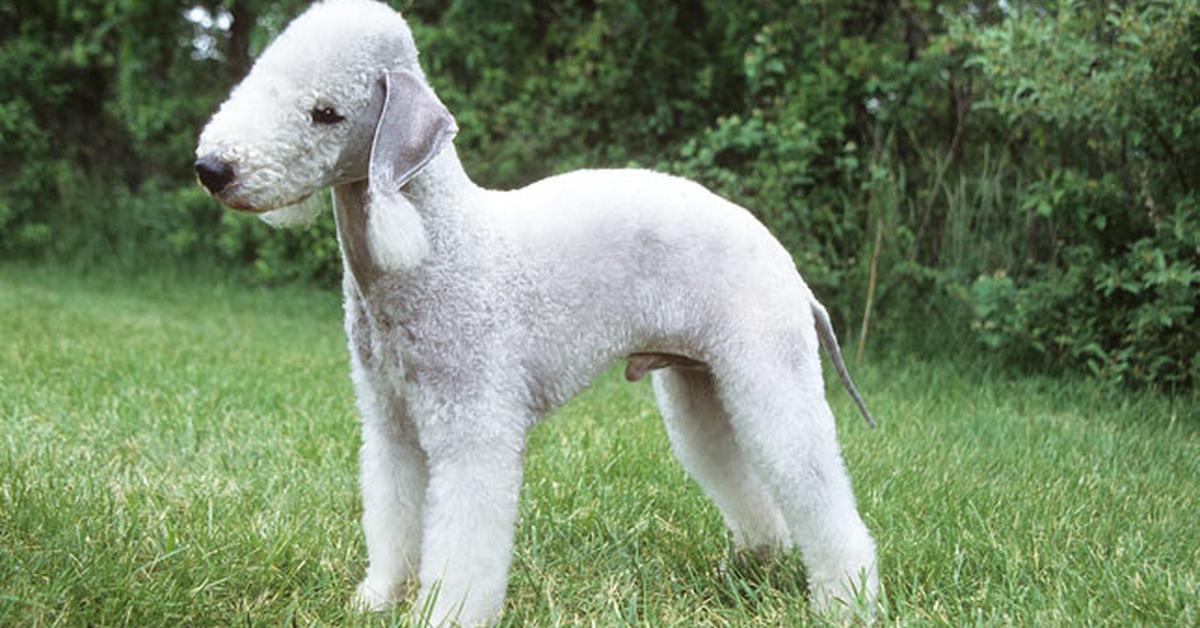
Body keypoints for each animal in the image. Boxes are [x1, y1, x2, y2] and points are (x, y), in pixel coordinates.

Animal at [196, 0, 883, 624]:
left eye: (326, 113)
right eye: (260, 75)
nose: (212, 169)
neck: (438, 245)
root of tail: (787, 266)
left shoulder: (473, 430)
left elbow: (464, 544)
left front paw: (443, 615)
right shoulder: (390, 424)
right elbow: (394, 514)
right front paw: (381, 598)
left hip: (769, 369)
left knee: (814, 484)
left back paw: (847, 602)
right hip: (701, 384)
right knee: (742, 477)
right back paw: (753, 563)